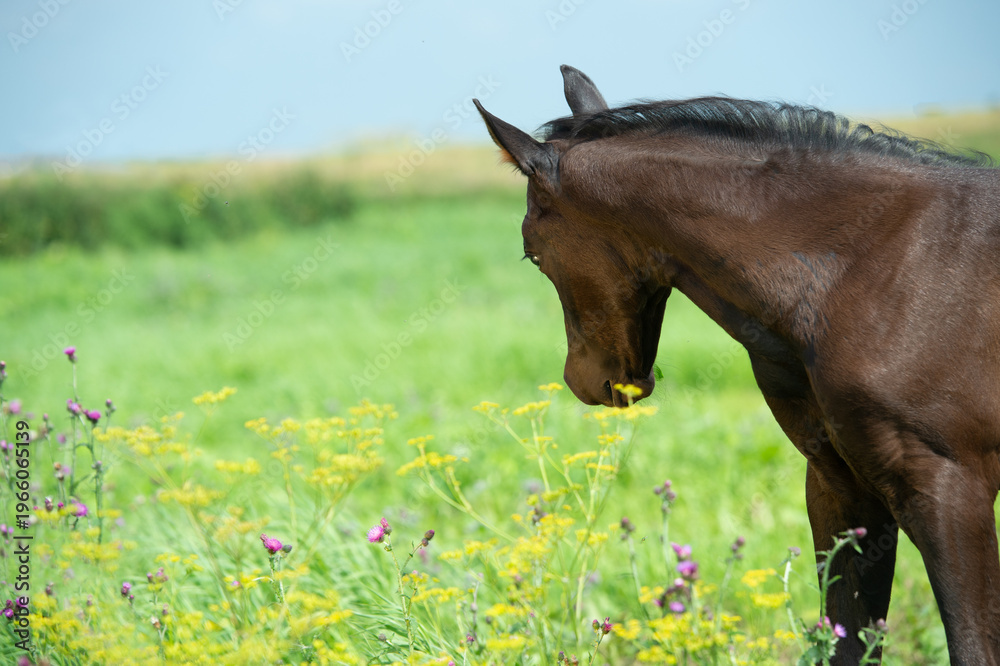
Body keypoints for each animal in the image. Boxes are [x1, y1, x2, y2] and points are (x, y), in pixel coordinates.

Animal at [475, 65, 1000, 665]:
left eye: (532, 252)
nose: (584, 381)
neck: (864, 268)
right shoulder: (842, 488)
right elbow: (844, 636)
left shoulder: (950, 490)